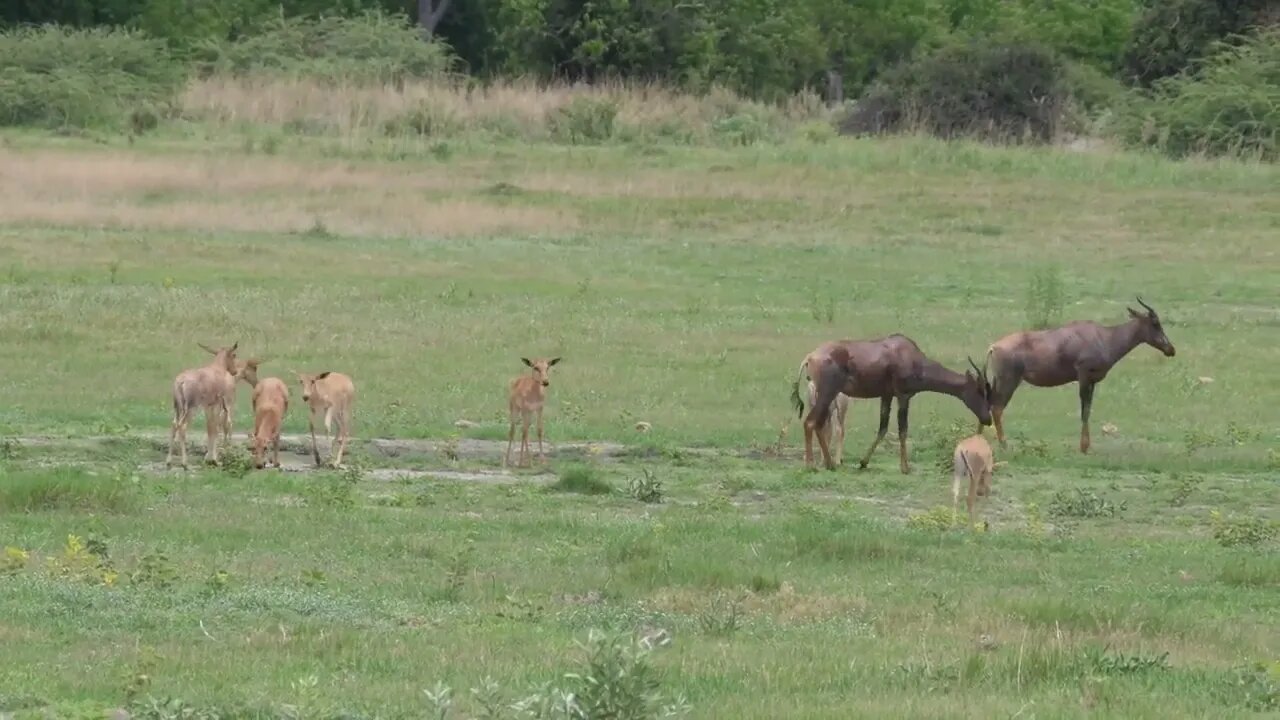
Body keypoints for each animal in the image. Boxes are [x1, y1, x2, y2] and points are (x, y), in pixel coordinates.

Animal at [166, 340, 239, 468]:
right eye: (234, 355)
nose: (234, 371)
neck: (216, 369)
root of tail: (181, 381)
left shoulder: (208, 406)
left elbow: (209, 428)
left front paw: (209, 459)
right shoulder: (216, 404)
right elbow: (215, 428)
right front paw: (215, 460)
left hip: (177, 408)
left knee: (174, 425)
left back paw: (169, 461)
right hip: (191, 409)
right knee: (182, 426)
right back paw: (185, 463)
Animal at [788, 335, 988, 474]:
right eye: (980, 390)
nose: (987, 419)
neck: (909, 354)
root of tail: (810, 357)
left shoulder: (886, 396)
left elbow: (883, 428)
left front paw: (863, 463)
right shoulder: (903, 396)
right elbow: (902, 430)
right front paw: (905, 468)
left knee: (819, 424)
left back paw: (829, 464)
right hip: (828, 393)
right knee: (811, 422)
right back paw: (813, 466)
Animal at [983, 294, 1172, 450]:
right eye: (1155, 323)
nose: (1171, 349)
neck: (1103, 337)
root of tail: (994, 347)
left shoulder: (1093, 381)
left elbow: (1088, 409)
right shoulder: (1084, 376)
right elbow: (1084, 411)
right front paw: (1083, 447)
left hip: (997, 381)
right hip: (1009, 381)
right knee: (997, 408)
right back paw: (1004, 444)